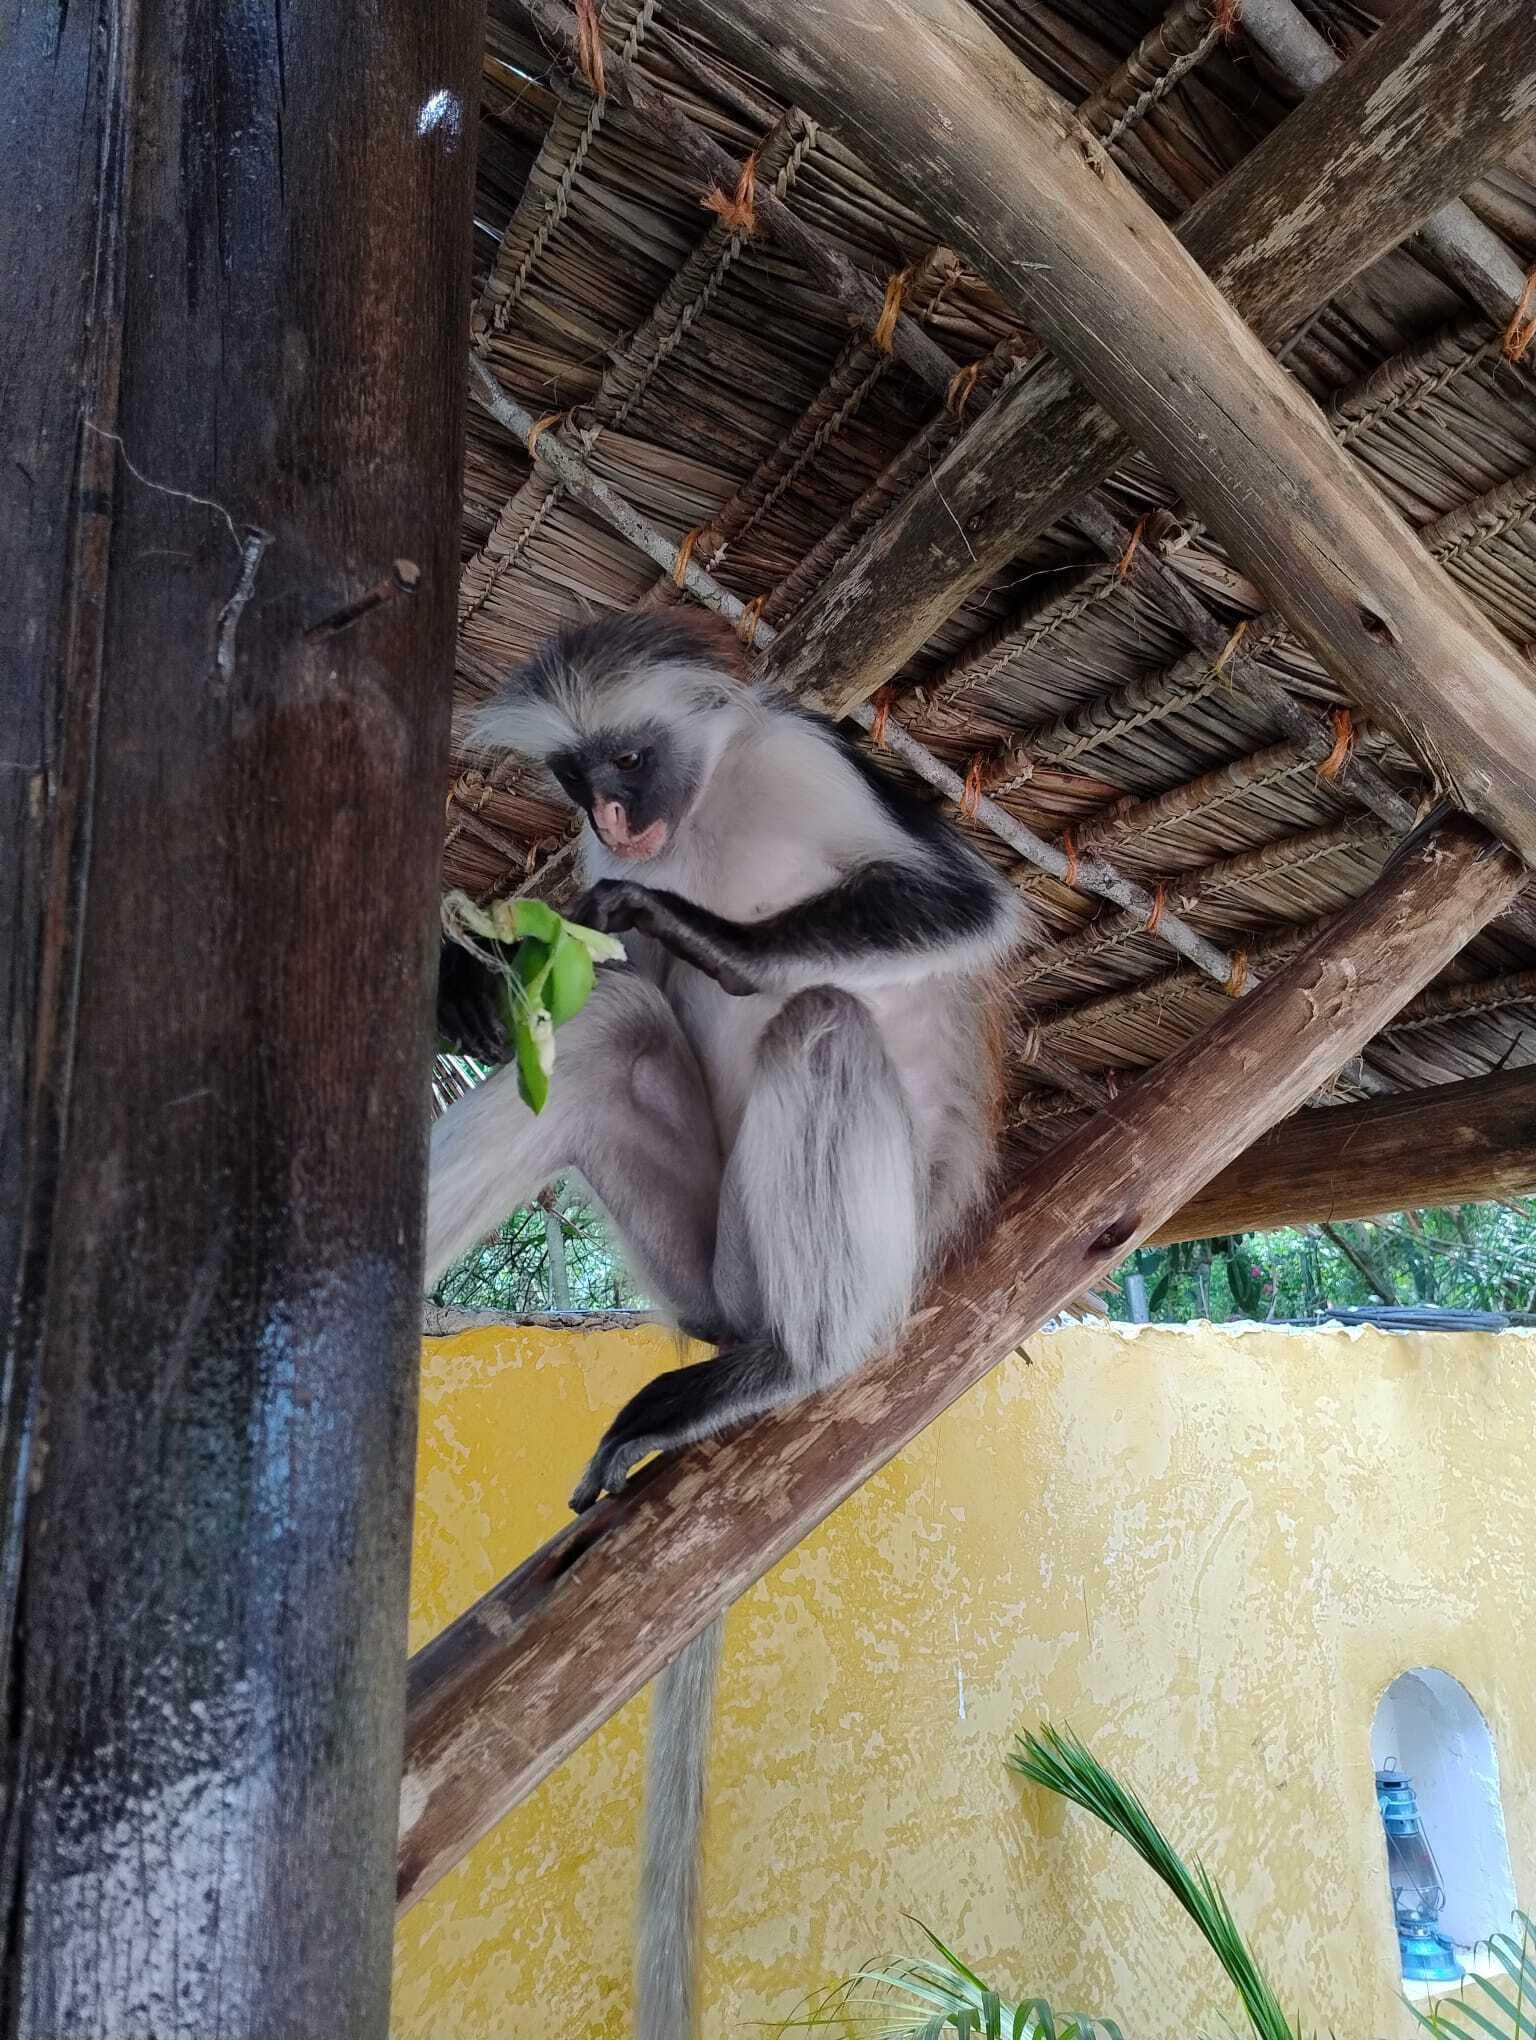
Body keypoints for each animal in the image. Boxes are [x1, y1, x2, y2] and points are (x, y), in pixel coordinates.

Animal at [427, 610, 1029, 2038]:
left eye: (630, 759)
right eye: (573, 775)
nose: (611, 818)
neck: (699, 813)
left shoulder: (803, 757)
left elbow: (969, 904)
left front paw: (703, 932)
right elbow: (592, 975)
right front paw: (466, 978)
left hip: (875, 1245)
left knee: (820, 1021)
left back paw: (791, 1365)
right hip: (705, 1255)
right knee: (599, 1023)